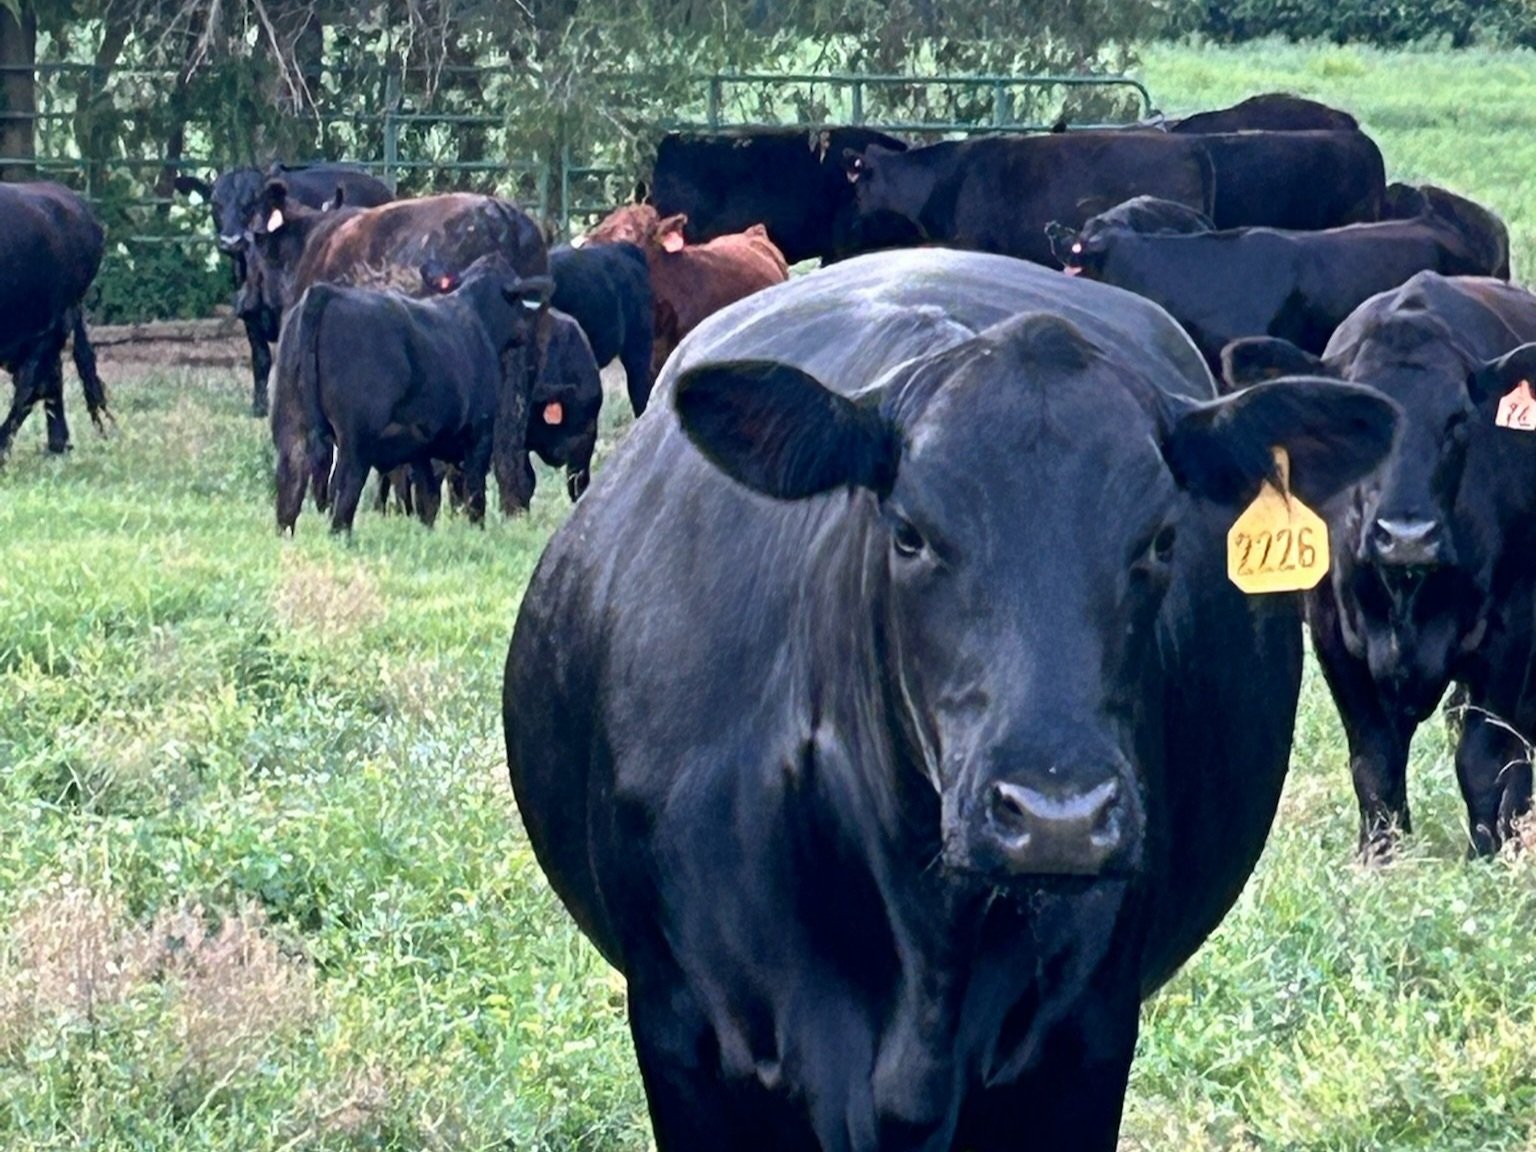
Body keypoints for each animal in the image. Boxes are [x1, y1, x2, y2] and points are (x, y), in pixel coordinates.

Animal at [176, 163, 392, 416]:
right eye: (215, 202)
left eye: (252, 202)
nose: (231, 240)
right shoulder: (249, 312)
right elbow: (261, 358)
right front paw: (259, 406)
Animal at [270, 254, 552, 535]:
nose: (524, 331)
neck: (477, 317)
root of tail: (325, 291)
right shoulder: (479, 435)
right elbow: (474, 497)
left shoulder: (421, 448)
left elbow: (428, 500)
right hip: (355, 441)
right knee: (344, 492)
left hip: (292, 428)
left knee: (290, 490)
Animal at [1223, 271, 1536, 859]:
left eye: (1458, 420)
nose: (1407, 537)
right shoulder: (1334, 634)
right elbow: (1375, 761)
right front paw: (1379, 857)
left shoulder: (1512, 629)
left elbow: (1486, 757)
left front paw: (1487, 853)